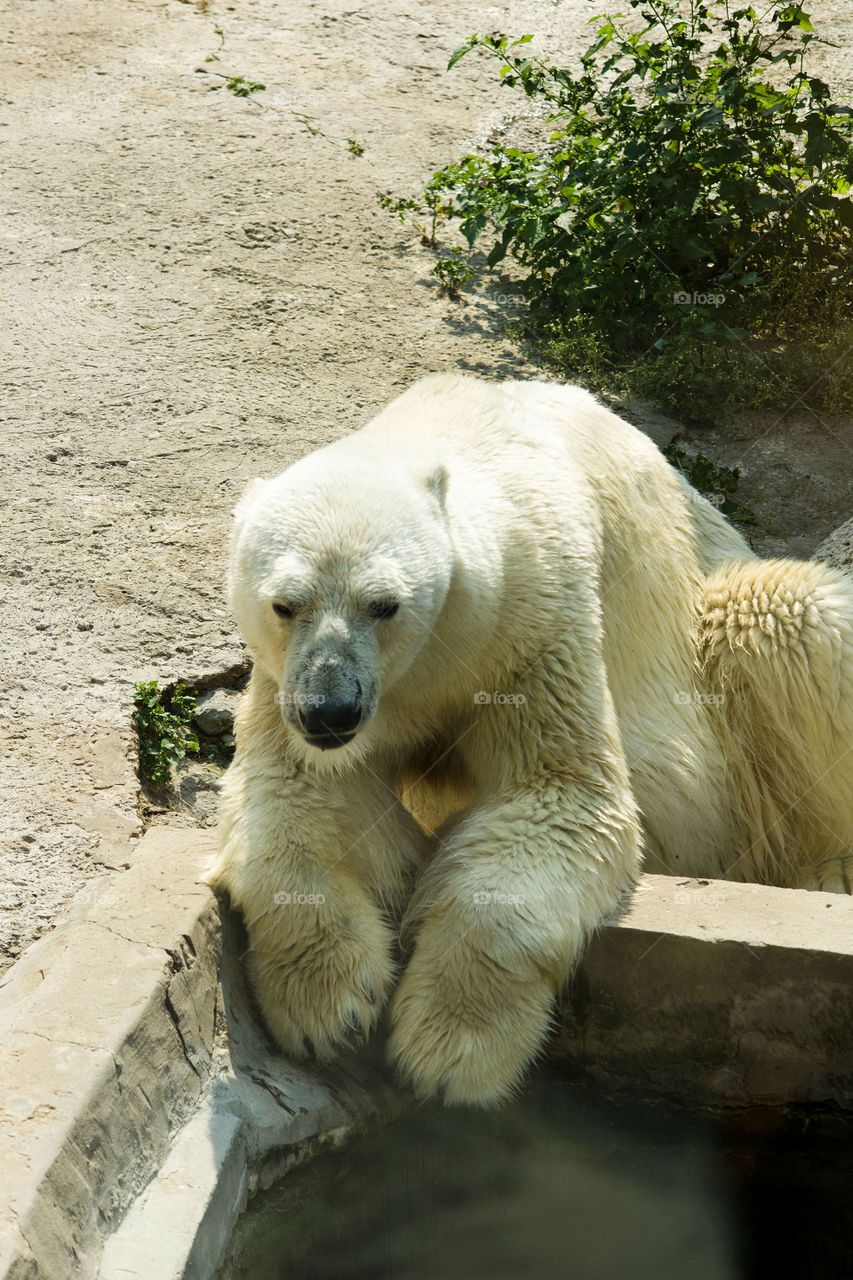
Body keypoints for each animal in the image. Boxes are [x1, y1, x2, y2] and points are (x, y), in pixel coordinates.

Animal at [207, 372, 853, 1107]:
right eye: (285, 604)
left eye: (384, 604)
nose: (329, 710)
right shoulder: (286, 685)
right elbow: (299, 795)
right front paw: (329, 1004)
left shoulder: (531, 623)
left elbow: (558, 794)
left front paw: (452, 1050)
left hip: (713, 626)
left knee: (796, 615)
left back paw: (824, 870)